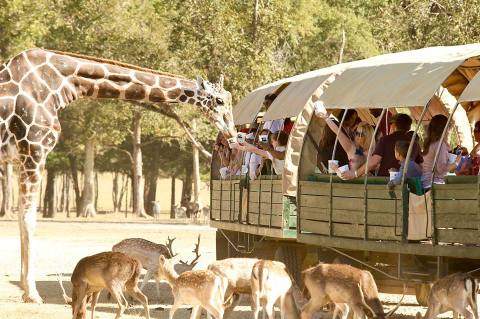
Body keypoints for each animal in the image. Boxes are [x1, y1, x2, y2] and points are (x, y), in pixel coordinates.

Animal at [0, 48, 236, 304]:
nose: (232, 132)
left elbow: (22, 219)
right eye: (219, 100)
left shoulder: (22, 159)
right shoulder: (34, 151)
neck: (61, 84)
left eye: (230, 97)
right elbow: (29, 220)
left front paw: (25, 288)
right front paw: (32, 293)